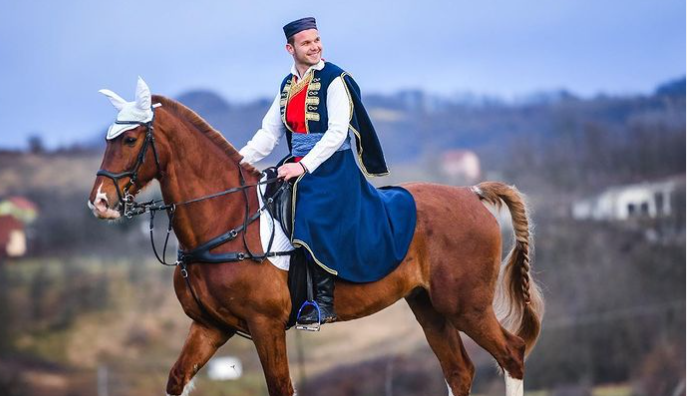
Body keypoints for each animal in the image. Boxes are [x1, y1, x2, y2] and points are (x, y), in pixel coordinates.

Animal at [90, 96, 544, 396]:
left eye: (130, 140)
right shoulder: (209, 326)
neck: (227, 220)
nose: (100, 202)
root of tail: (472, 194)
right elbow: (178, 379)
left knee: (511, 354)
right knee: (459, 371)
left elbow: (281, 387)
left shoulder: (265, 326)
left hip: (466, 306)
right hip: (429, 307)